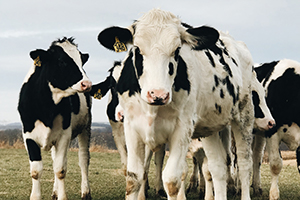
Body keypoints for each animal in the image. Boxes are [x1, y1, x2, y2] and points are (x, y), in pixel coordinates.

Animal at [17, 37, 92, 200]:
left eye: (81, 61)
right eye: (62, 61)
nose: (87, 84)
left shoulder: (64, 135)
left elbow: (60, 169)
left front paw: (63, 196)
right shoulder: (28, 135)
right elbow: (36, 170)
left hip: (86, 127)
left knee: (83, 159)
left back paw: (85, 192)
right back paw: (55, 192)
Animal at [98, 8, 255, 200]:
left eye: (177, 50)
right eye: (137, 49)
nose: (158, 94)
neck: (152, 109)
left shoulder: (182, 129)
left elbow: (172, 180)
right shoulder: (131, 127)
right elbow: (133, 177)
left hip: (244, 115)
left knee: (244, 163)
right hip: (210, 126)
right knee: (217, 167)